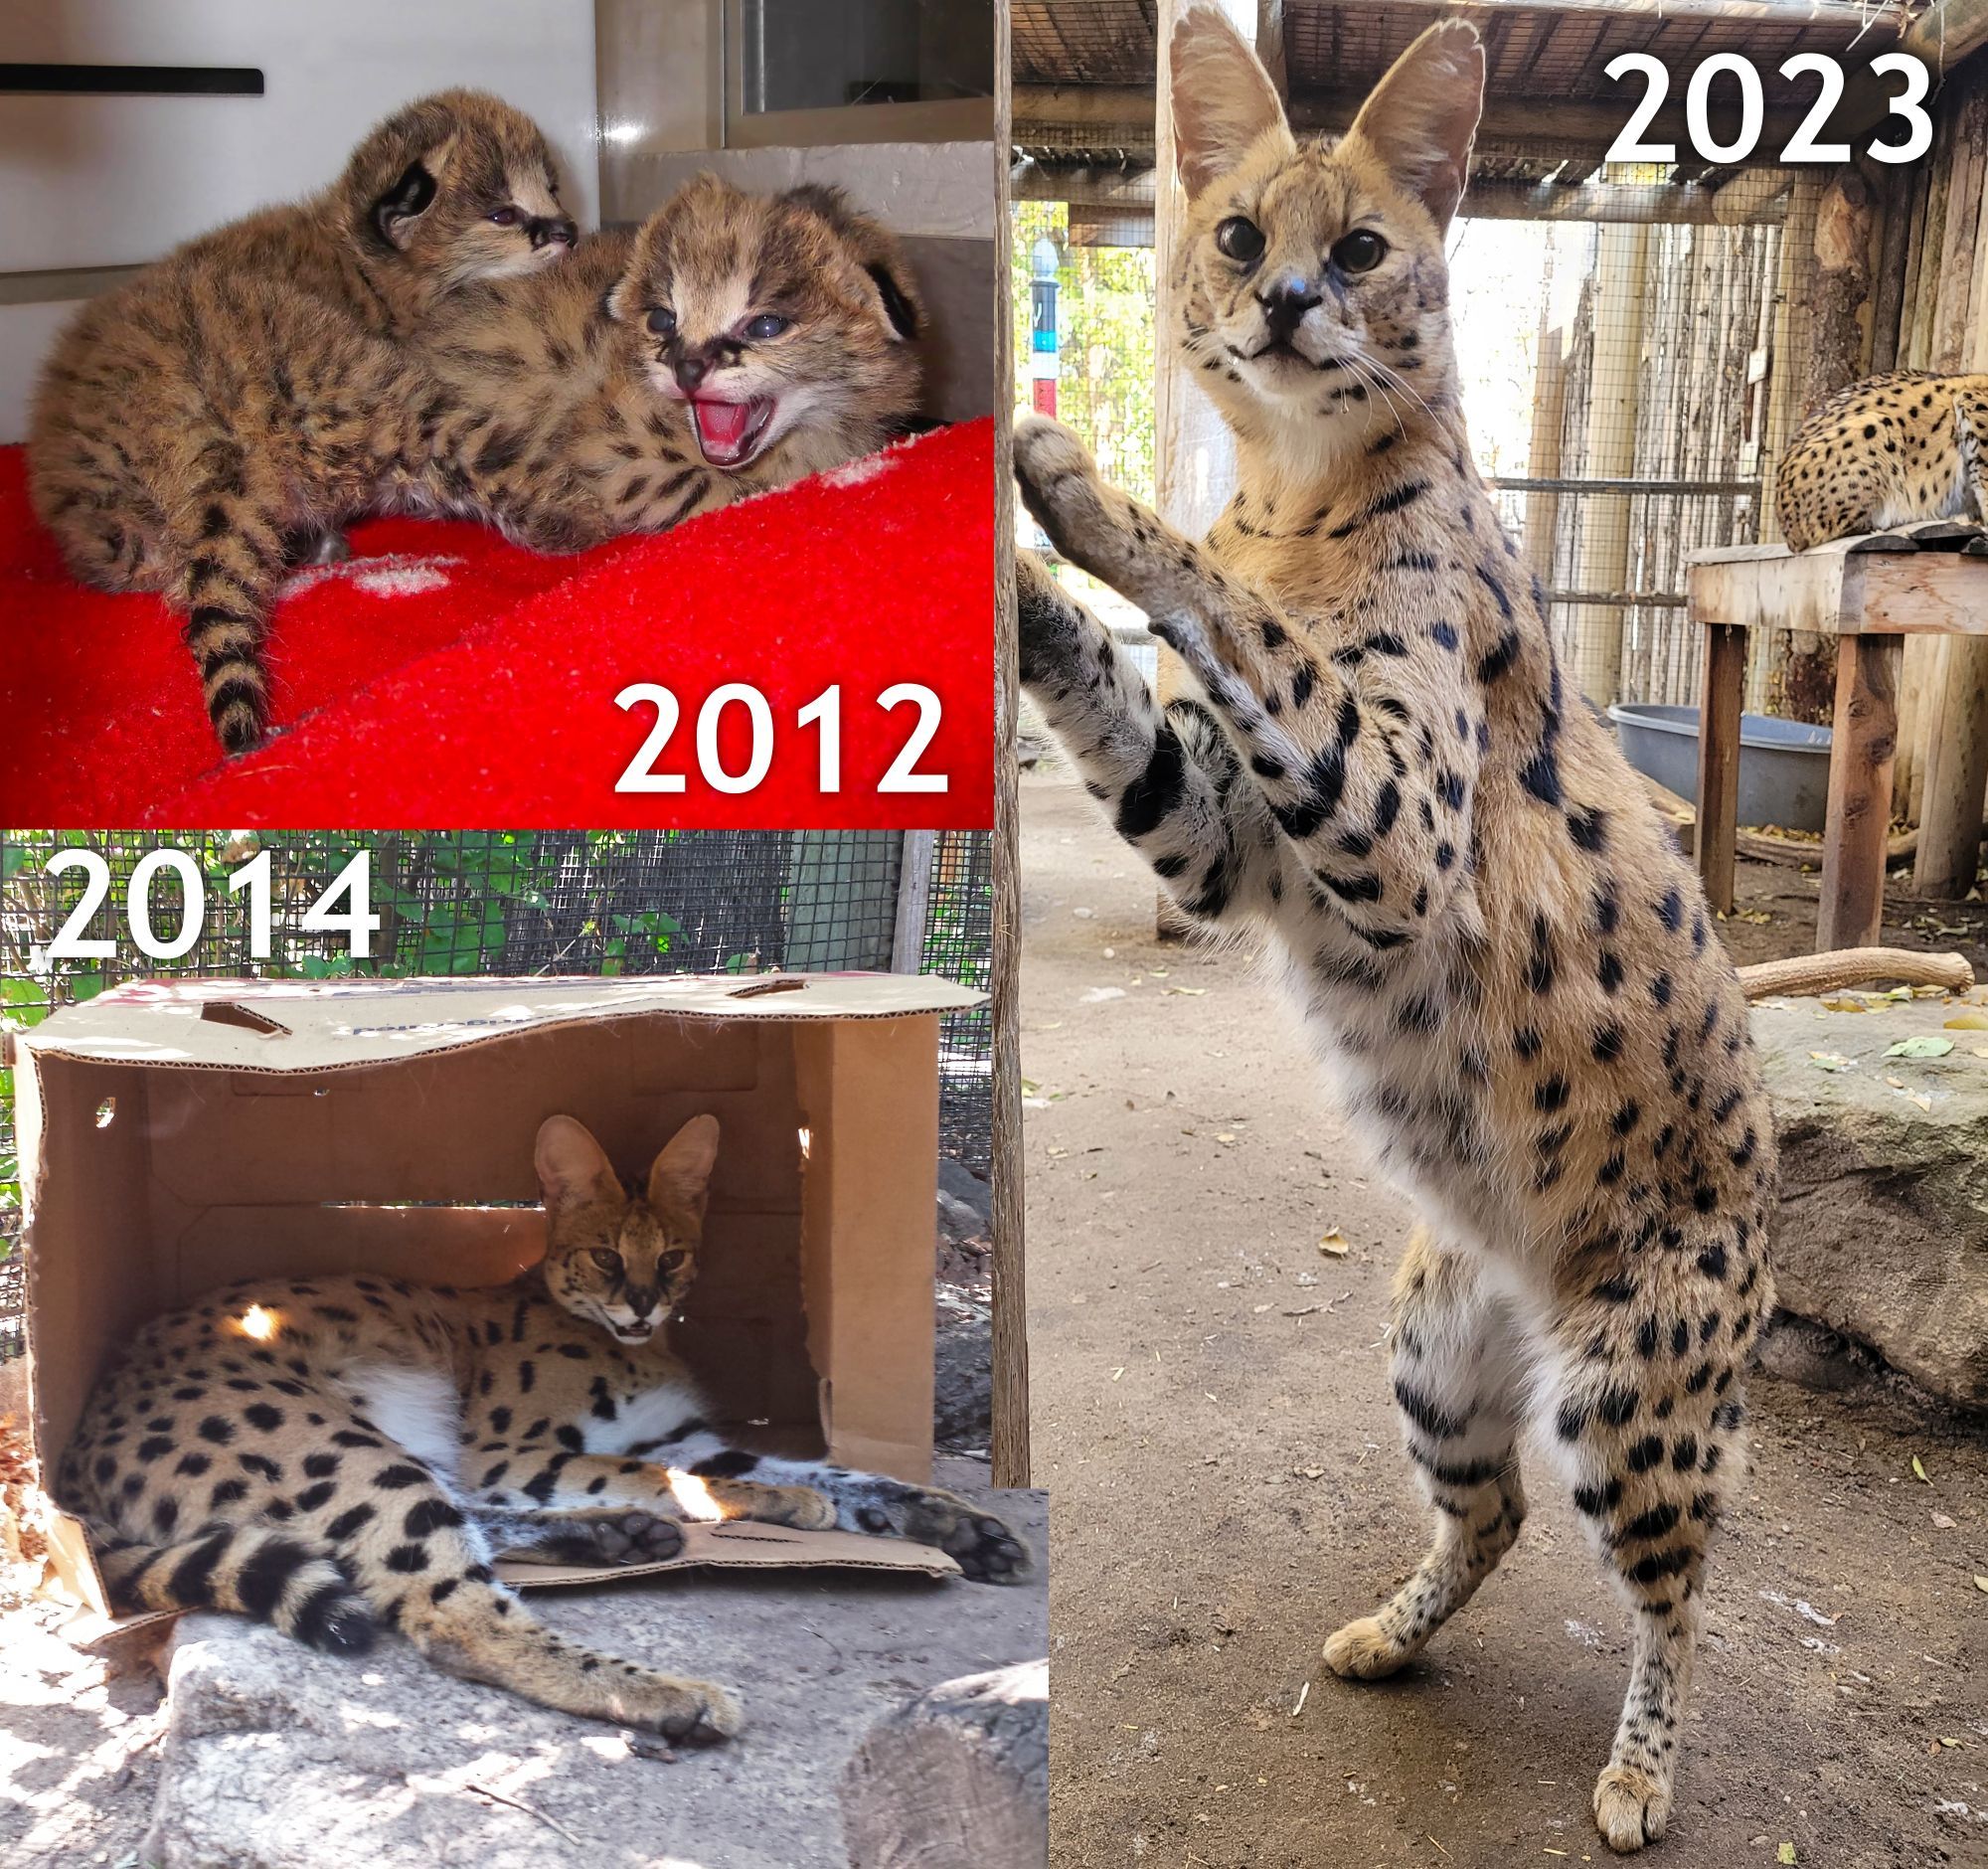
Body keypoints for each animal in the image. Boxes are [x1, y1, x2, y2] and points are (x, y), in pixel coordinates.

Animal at [29, 91, 577, 752]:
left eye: (554, 188)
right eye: (503, 214)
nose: (570, 230)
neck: (365, 265)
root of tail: (194, 419)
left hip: (120, 533)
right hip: (363, 391)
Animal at [62, 1113, 1026, 1734]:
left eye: (672, 1257)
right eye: (603, 1255)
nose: (641, 1305)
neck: (621, 1338)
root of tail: (69, 1464)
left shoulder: (677, 1433)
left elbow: (813, 1469)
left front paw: (949, 1520)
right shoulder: (508, 1447)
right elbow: (679, 1476)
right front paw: (789, 1510)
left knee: (458, 1536)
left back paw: (612, 1538)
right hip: (331, 1442)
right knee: (453, 1611)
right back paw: (667, 1693)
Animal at [1018, 14, 1781, 1853]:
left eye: (1361, 250)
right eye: (1238, 238)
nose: (1292, 302)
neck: (1296, 487)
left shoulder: (1395, 839)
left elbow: (1241, 620)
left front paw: (1088, 494)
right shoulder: (1229, 849)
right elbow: (1134, 697)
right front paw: (1020, 582)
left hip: (1636, 1400)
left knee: (1680, 1597)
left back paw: (1643, 1775)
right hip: (1437, 1347)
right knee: (1490, 1512)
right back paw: (1391, 1631)